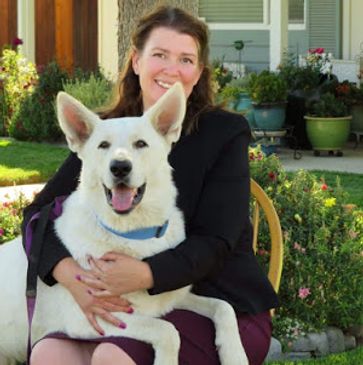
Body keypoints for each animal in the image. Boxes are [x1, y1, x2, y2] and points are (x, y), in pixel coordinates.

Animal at [0, 83, 249, 364]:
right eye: (103, 145)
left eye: (141, 144)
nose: (120, 167)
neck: (134, 233)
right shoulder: (90, 316)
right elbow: (167, 330)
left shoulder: (175, 297)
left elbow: (224, 307)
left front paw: (234, 354)